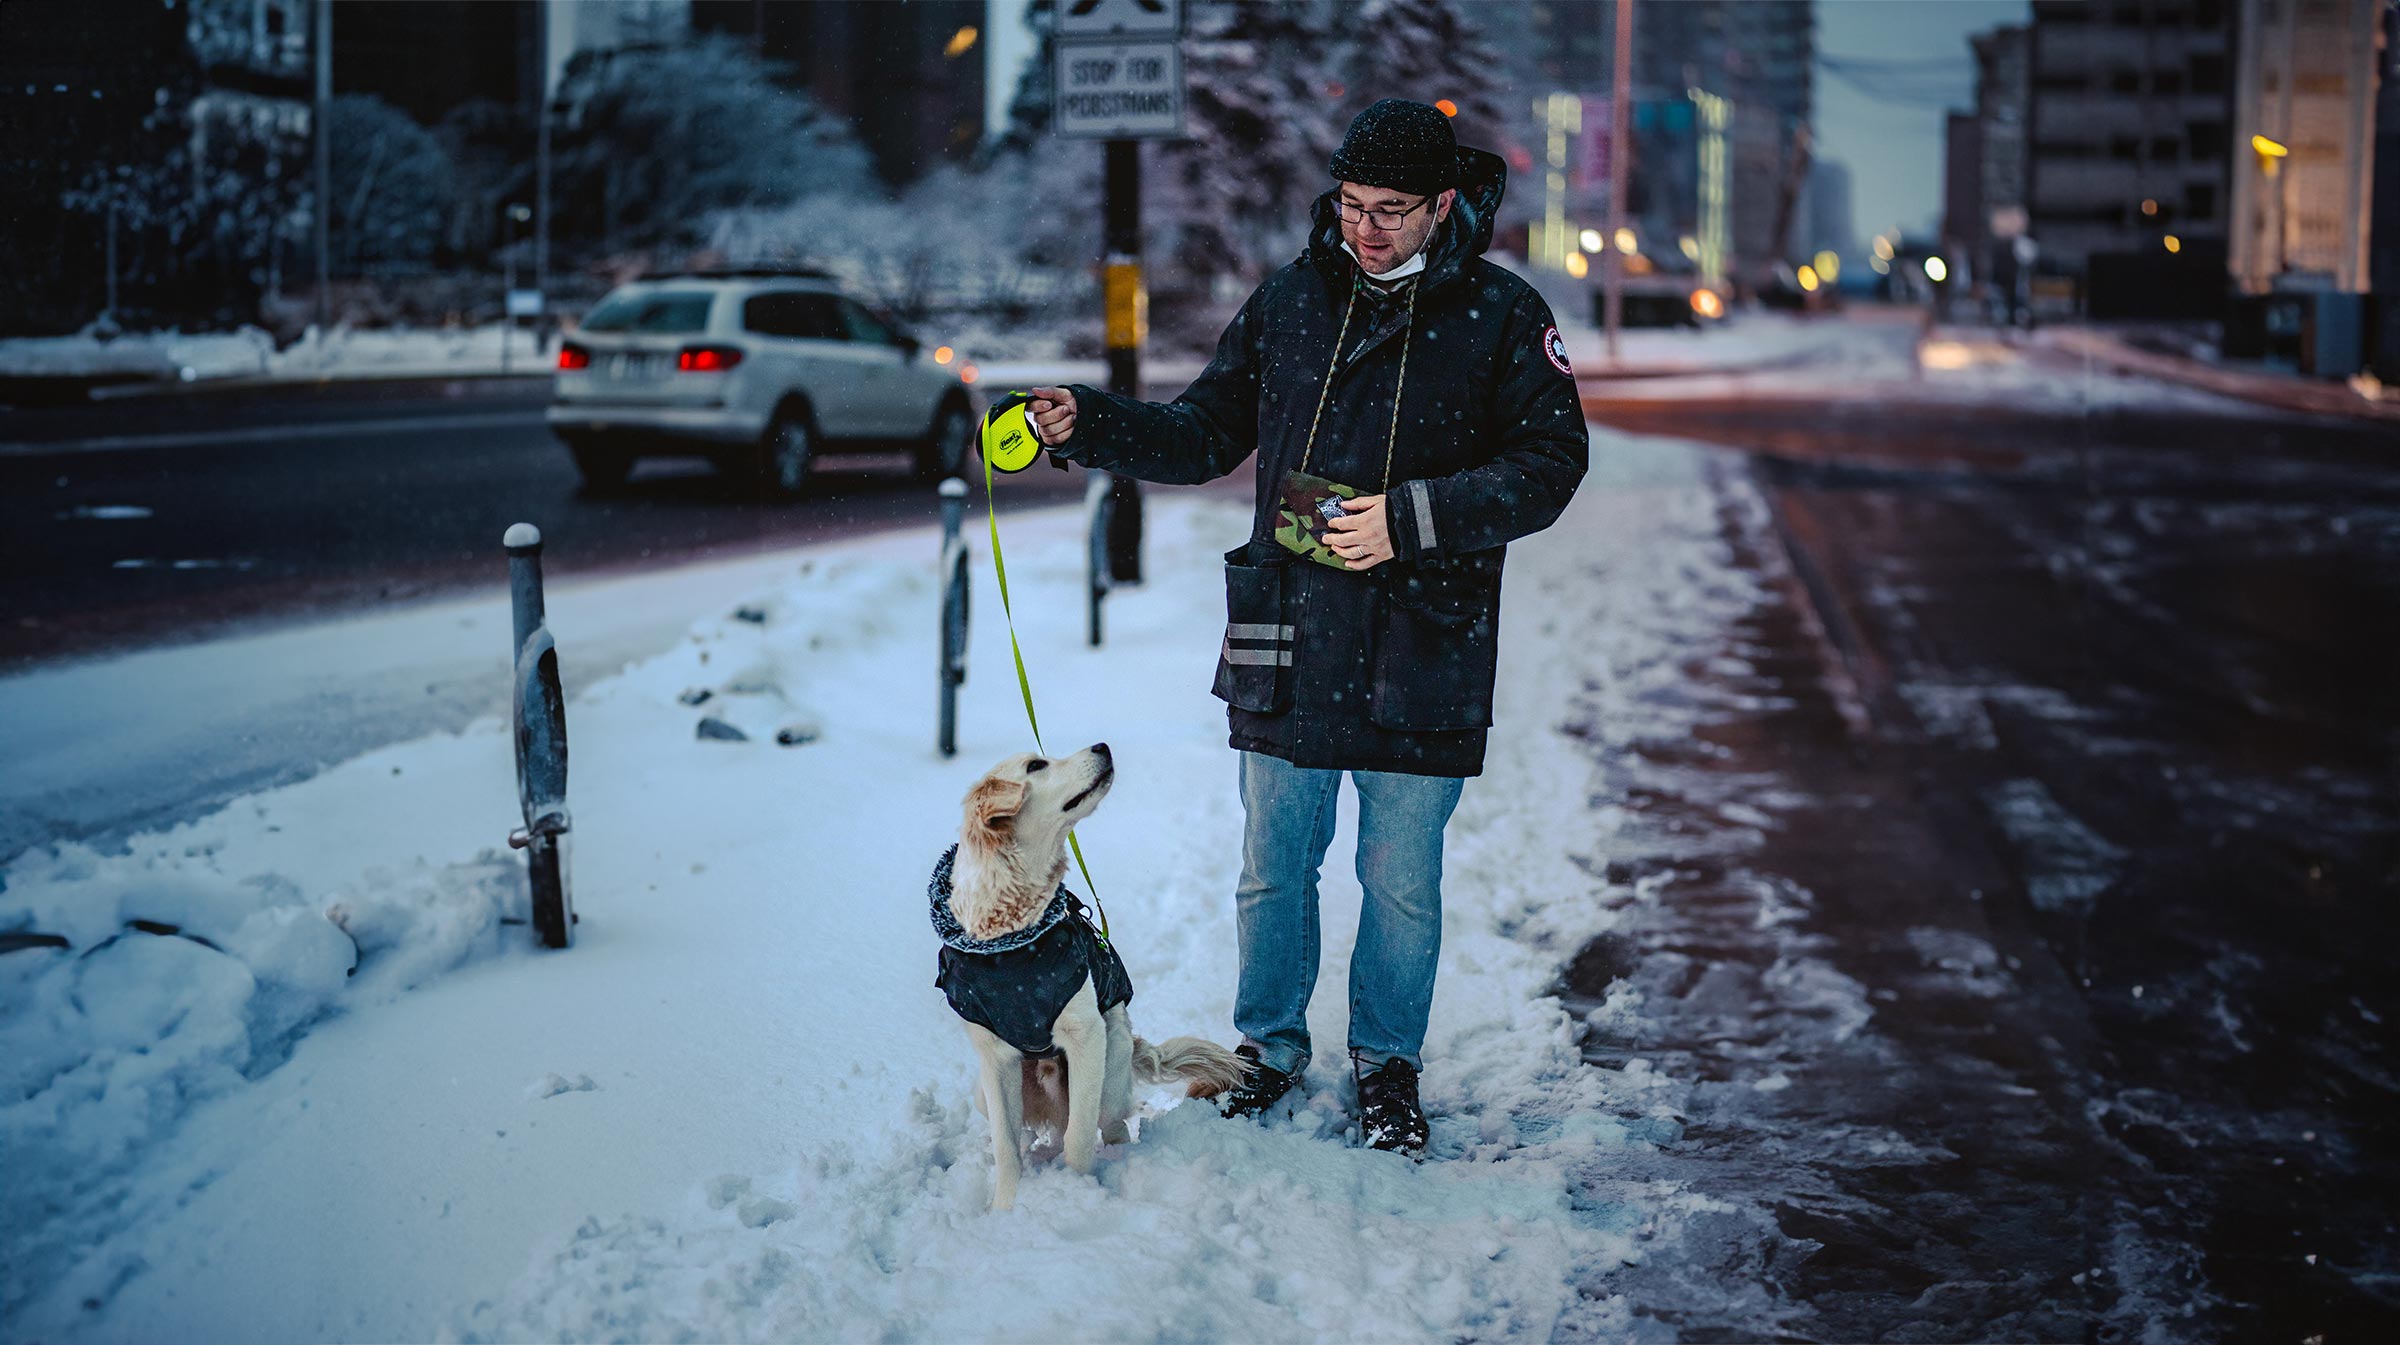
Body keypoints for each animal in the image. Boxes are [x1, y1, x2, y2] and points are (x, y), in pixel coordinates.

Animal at [926, 739, 1248, 1215]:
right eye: (1035, 766)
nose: (1103, 745)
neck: (1011, 939)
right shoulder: (994, 1057)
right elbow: (1006, 1148)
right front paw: (1005, 1209)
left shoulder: (1086, 1035)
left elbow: (1079, 1137)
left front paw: (1074, 1196)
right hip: (984, 1093)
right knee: (1030, 1130)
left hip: (1111, 1069)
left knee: (1109, 1124)